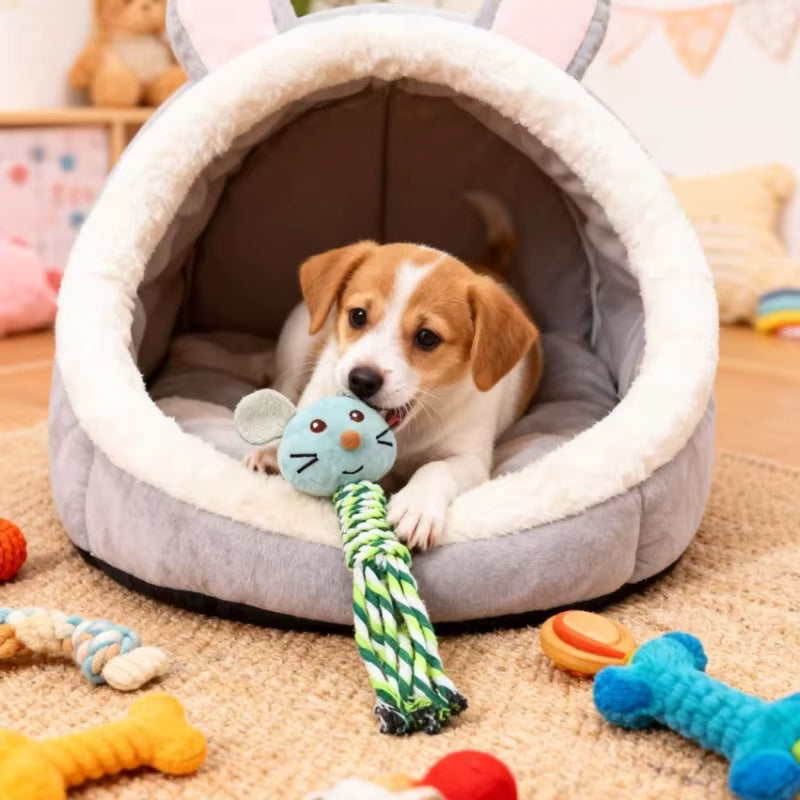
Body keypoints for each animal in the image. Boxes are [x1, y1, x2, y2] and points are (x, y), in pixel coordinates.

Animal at [246, 194, 543, 550]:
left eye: (427, 337)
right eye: (358, 315)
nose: (361, 380)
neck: (407, 431)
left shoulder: (470, 458)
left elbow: (436, 469)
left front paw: (417, 506)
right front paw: (275, 447)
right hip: (299, 338)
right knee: (284, 385)